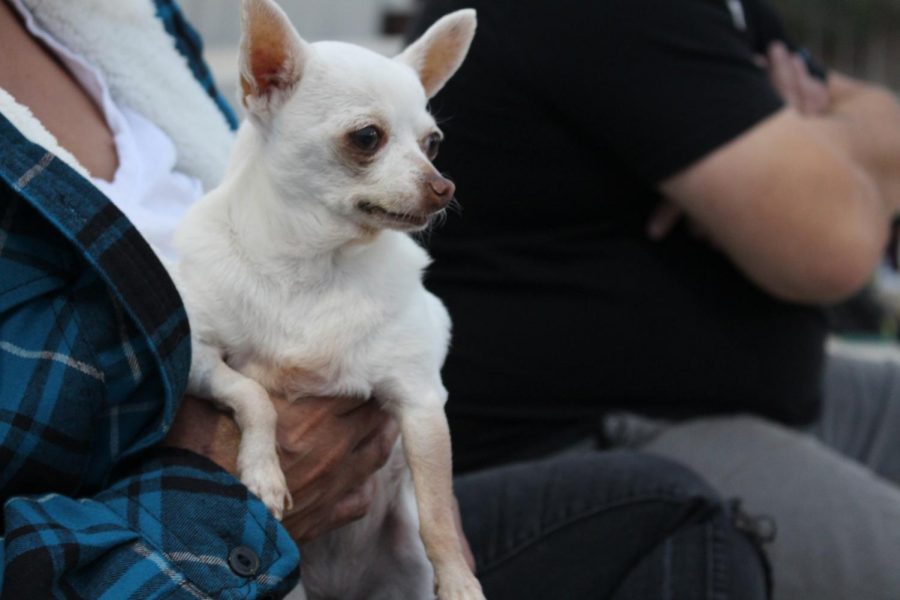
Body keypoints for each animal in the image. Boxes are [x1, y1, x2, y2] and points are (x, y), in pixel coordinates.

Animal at [168, 1, 478, 600]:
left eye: (432, 144)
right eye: (367, 137)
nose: (443, 187)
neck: (312, 266)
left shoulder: (421, 401)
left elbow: (437, 512)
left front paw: (459, 582)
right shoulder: (200, 358)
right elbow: (252, 395)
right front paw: (263, 472)